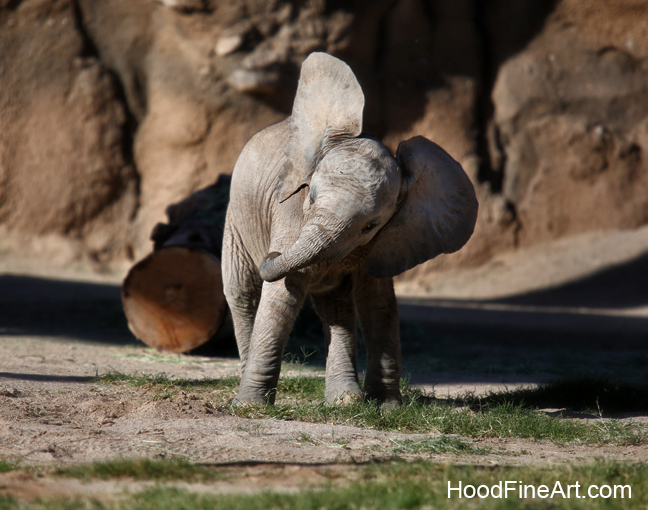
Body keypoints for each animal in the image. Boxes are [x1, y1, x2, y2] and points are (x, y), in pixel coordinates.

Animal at [222, 52, 478, 405]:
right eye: (310, 197)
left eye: (370, 226)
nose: (271, 251)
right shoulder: (289, 212)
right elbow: (282, 296)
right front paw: (250, 406)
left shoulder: (387, 238)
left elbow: (378, 302)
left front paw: (386, 406)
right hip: (235, 215)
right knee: (242, 291)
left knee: (336, 307)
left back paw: (345, 400)